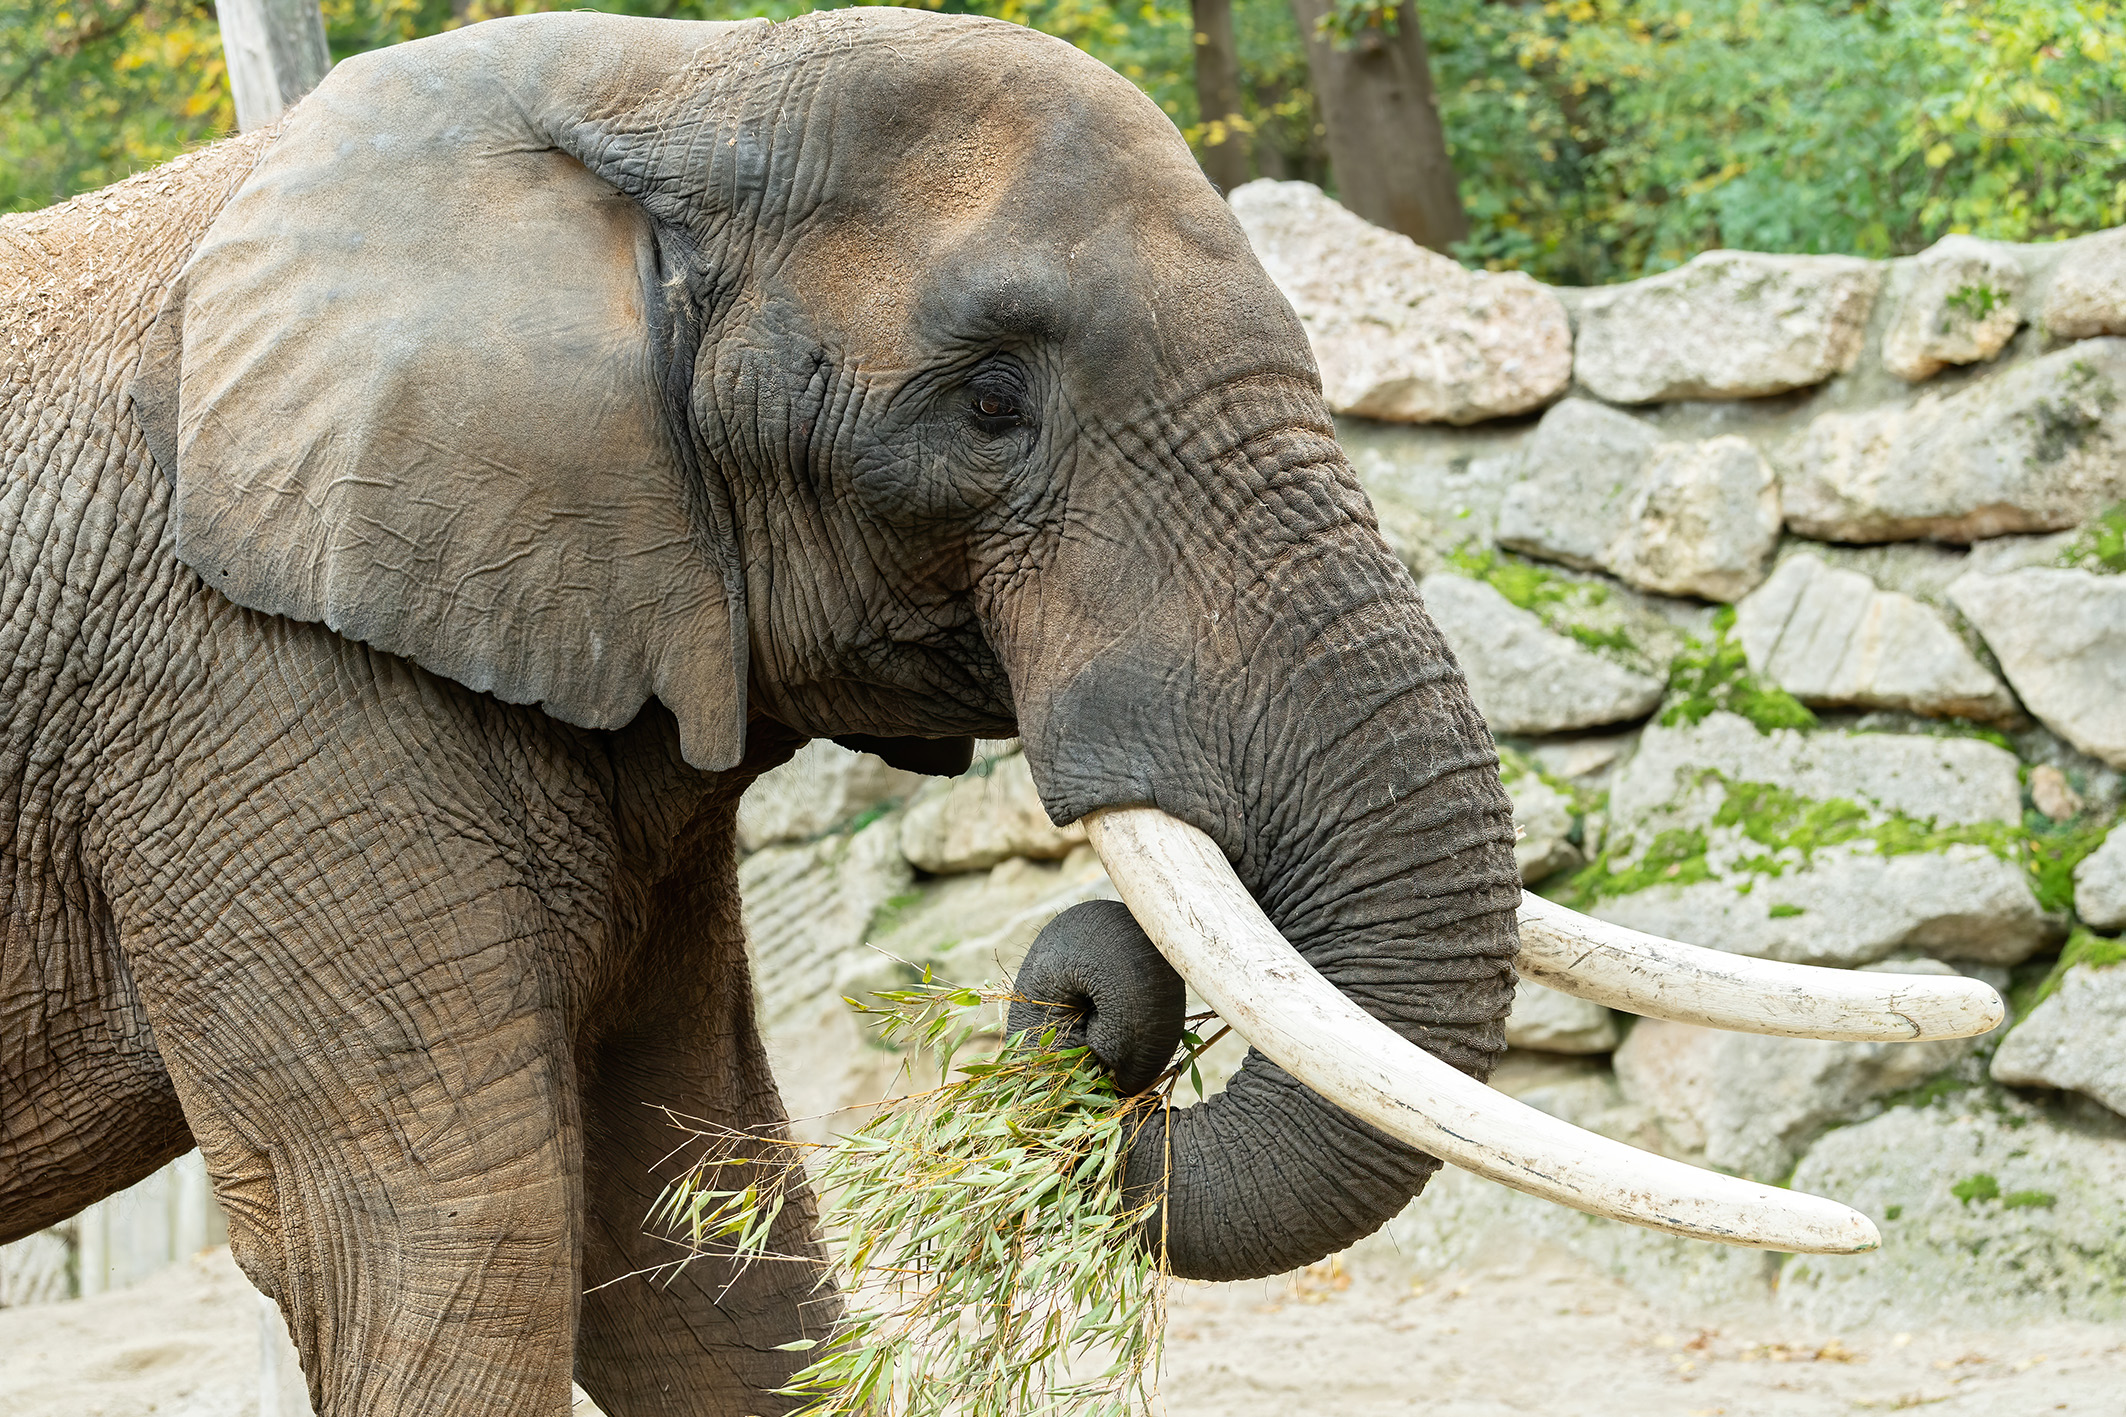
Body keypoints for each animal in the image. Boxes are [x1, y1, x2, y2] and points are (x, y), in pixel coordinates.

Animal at [0, 8, 2003, 1414]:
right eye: (987, 406)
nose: (1082, 1006)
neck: (657, 87)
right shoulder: (252, 685)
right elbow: (440, 1232)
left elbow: (693, 1217)